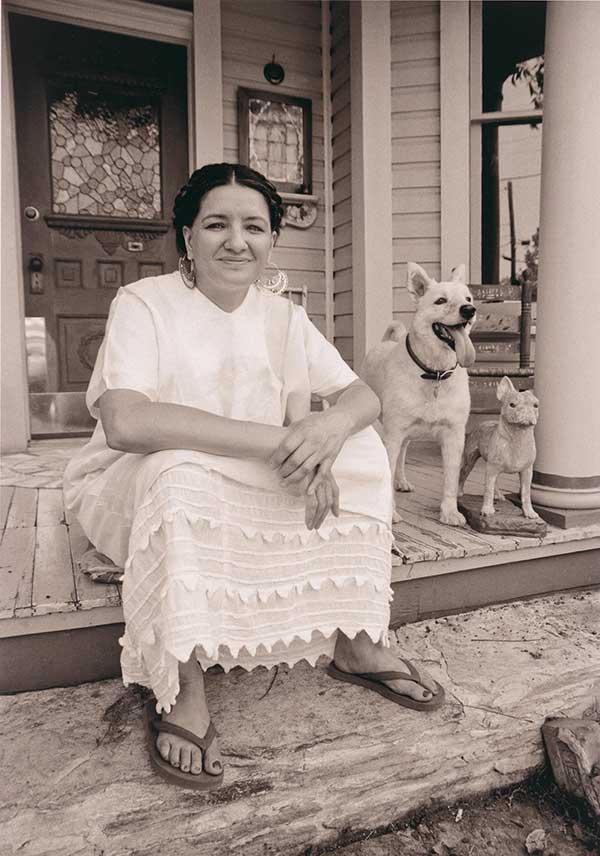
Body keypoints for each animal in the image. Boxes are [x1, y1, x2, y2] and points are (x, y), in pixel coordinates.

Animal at [364, 262, 476, 528]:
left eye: (468, 298)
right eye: (440, 300)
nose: (469, 310)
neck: (435, 372)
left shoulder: (454, 434)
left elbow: (451, 479)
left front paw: (449, 512)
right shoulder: (394, 434)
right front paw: (390, 513)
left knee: (403, 456)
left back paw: (402, 481)